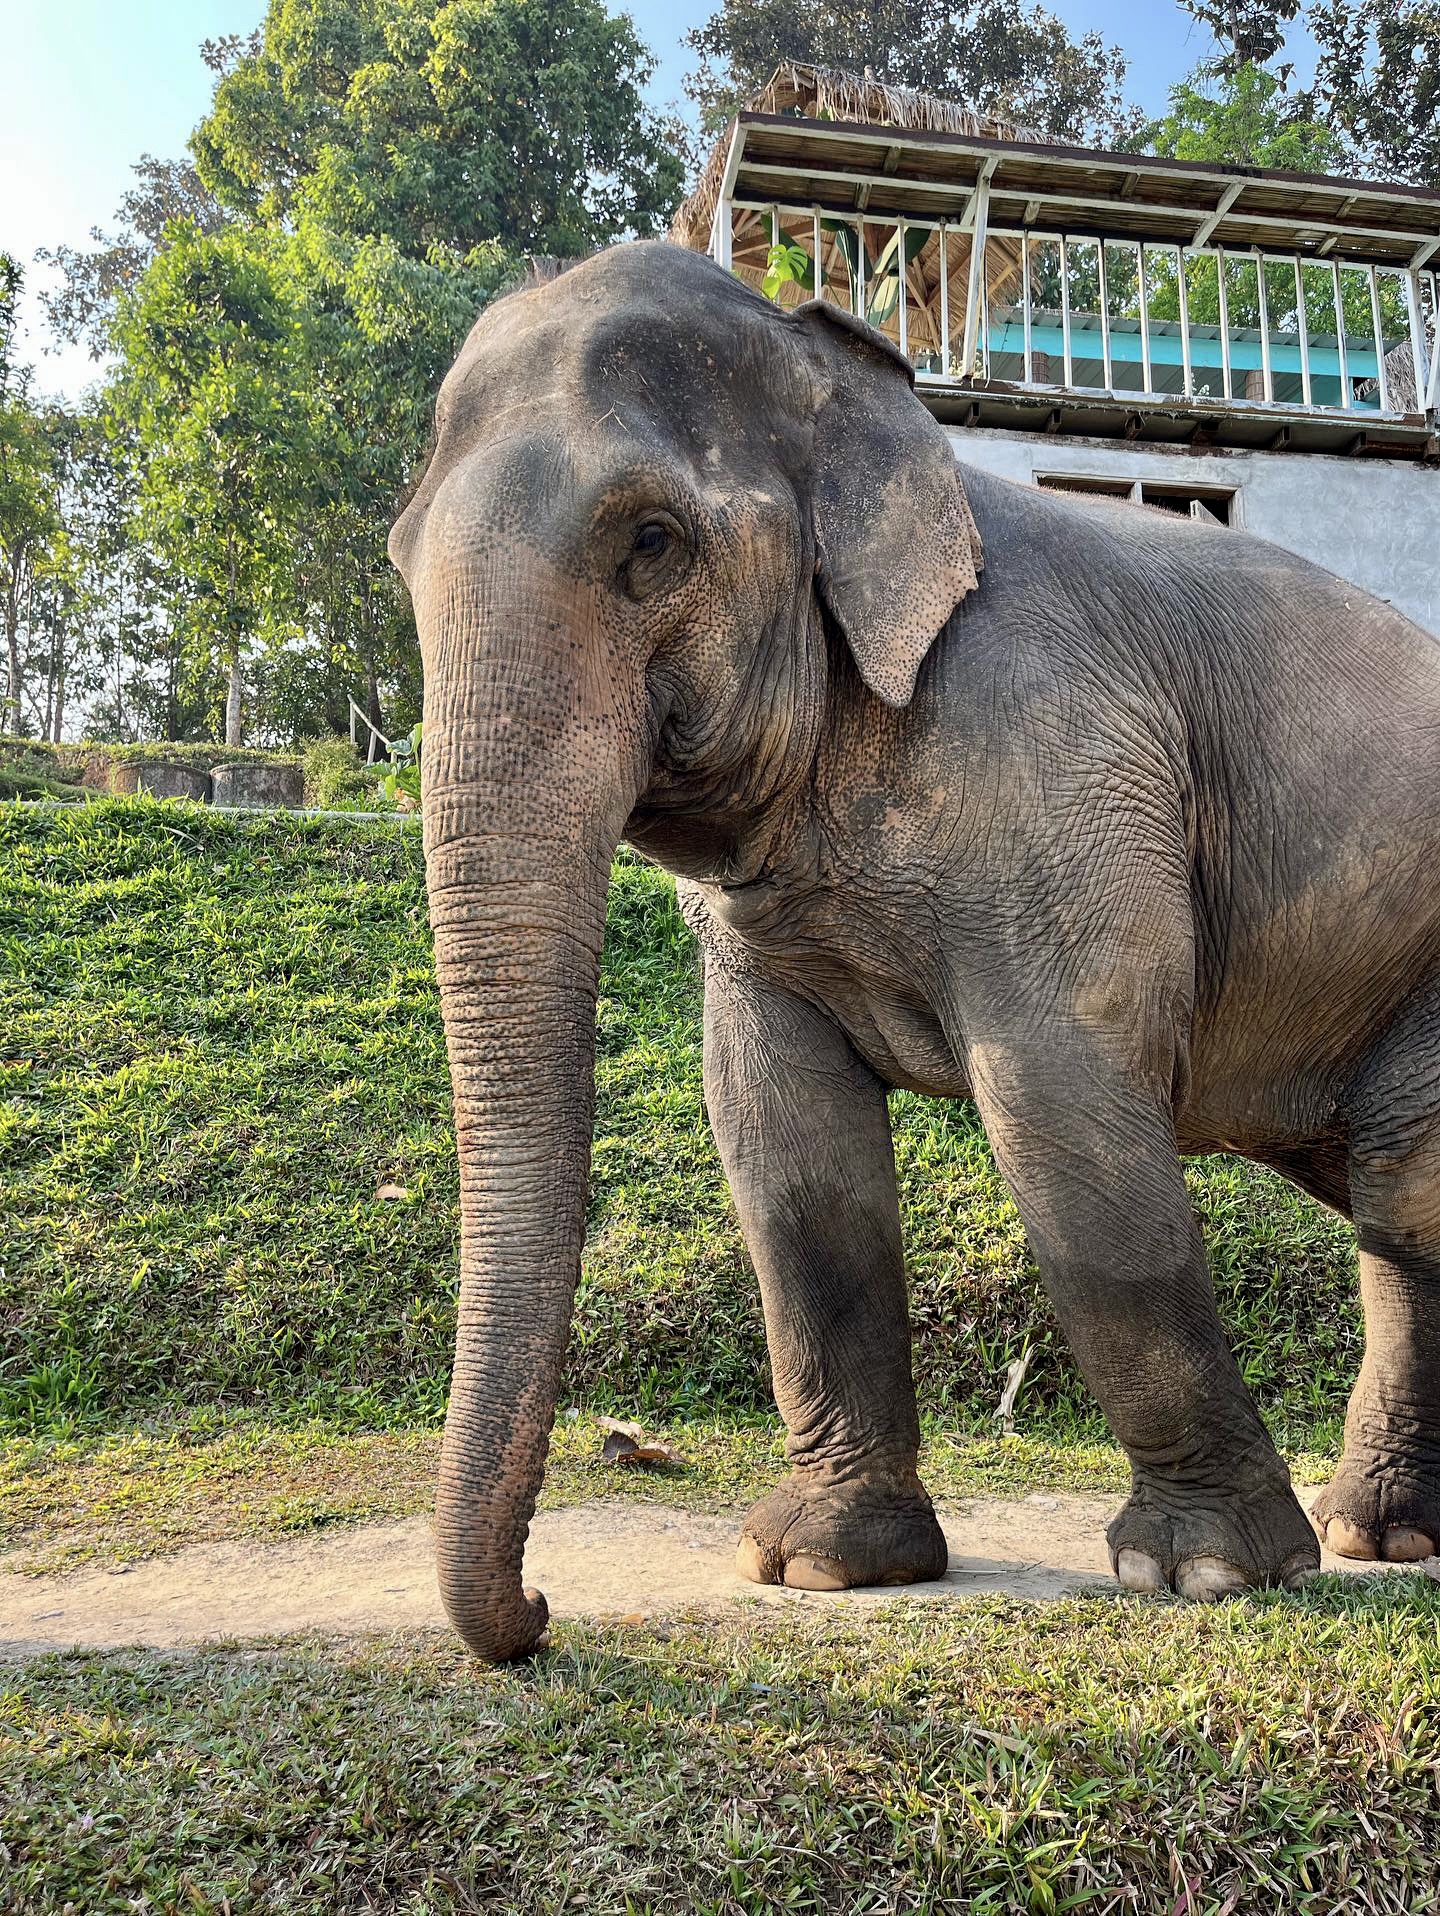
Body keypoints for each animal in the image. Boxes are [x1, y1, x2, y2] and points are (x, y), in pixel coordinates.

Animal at [388, 239, 1440, 1663]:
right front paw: (820, 1563)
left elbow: (1063, 1119)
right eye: (402, 561)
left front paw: (1208, 1573)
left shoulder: (1062, 770)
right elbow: (784, 1146)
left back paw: (1364, 1538)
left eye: (651, 543)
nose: (541, 1612)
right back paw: (1382, 1534)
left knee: (1402, 1195)